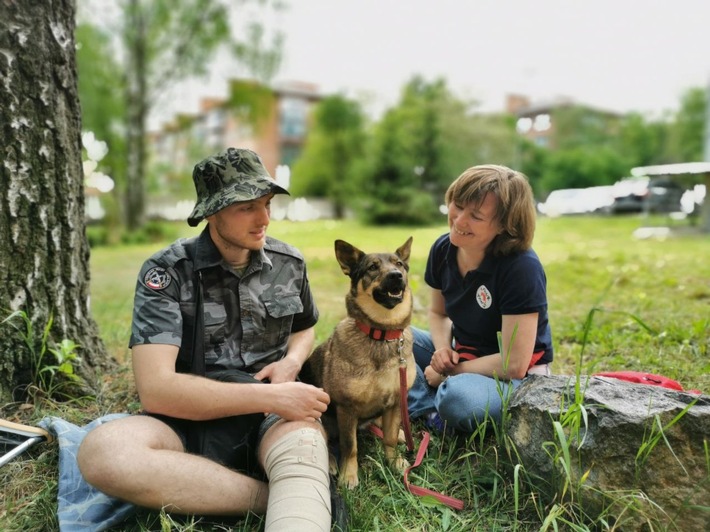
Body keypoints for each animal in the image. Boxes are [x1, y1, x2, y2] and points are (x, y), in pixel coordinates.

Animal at [302, 239, 418, 488]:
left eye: (399, 264)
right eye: (372, 267)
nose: (396, 276)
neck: (381, 334)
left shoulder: (395, 402)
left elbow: (390, 439)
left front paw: (394, 462)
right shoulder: (347, 408)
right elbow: (350, 446)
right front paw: (349, 475)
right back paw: (331, 463)